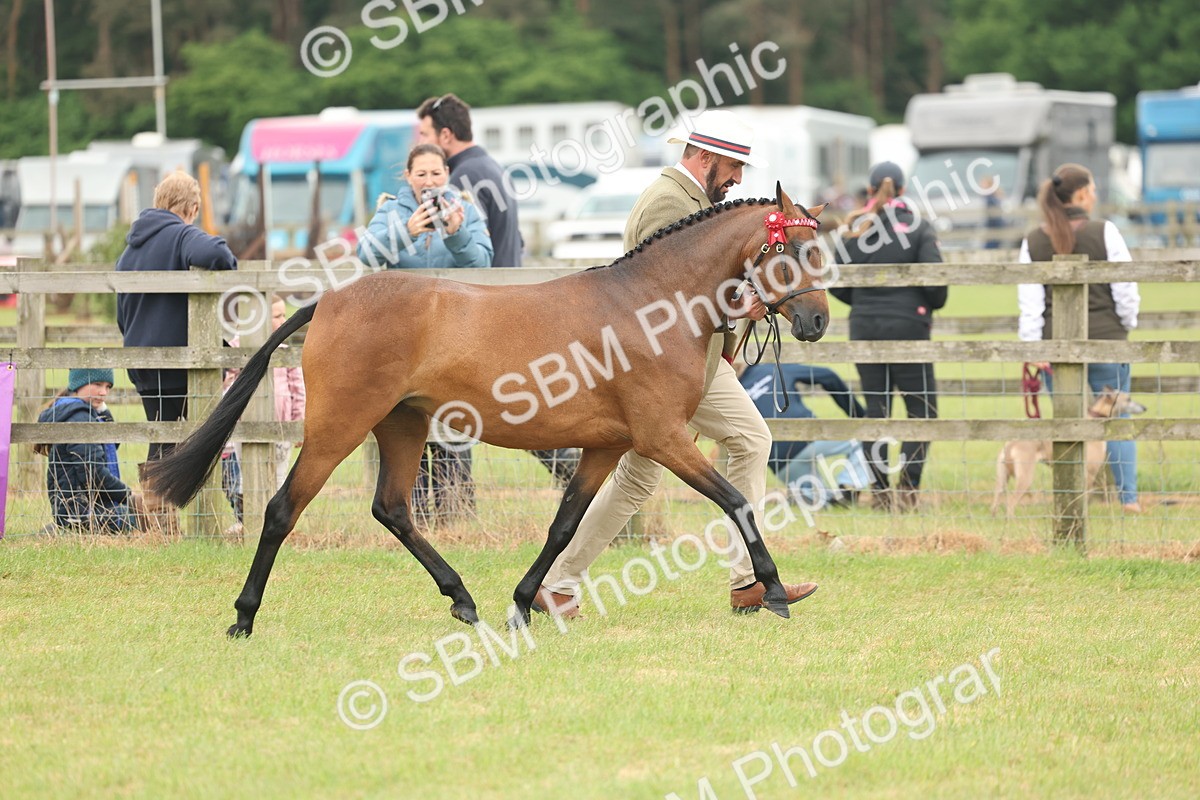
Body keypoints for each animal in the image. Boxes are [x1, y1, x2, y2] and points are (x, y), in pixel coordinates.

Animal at [145, 183, 830, 637]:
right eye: (791, 251)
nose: (818, 321)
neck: (650, 304)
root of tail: (333, 300)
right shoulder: (663, 438)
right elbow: (736, 501)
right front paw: (773, 591)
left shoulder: (607, 445)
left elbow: (565, 526)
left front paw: (524, 605)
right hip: (338, 426)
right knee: (283, 509)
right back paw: (243, 617)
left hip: (403, 424)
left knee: (392, 508)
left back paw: (463, 600)